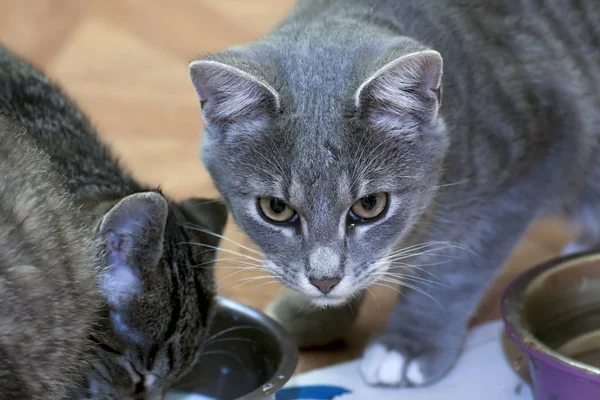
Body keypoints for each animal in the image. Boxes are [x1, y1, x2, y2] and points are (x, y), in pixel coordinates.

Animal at [189, 0, 600, 390]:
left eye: (370, 205)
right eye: (275, 208)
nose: (324, 281)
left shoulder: (531, 169)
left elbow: (455, 271)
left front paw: (408, 347)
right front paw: (310, 316)